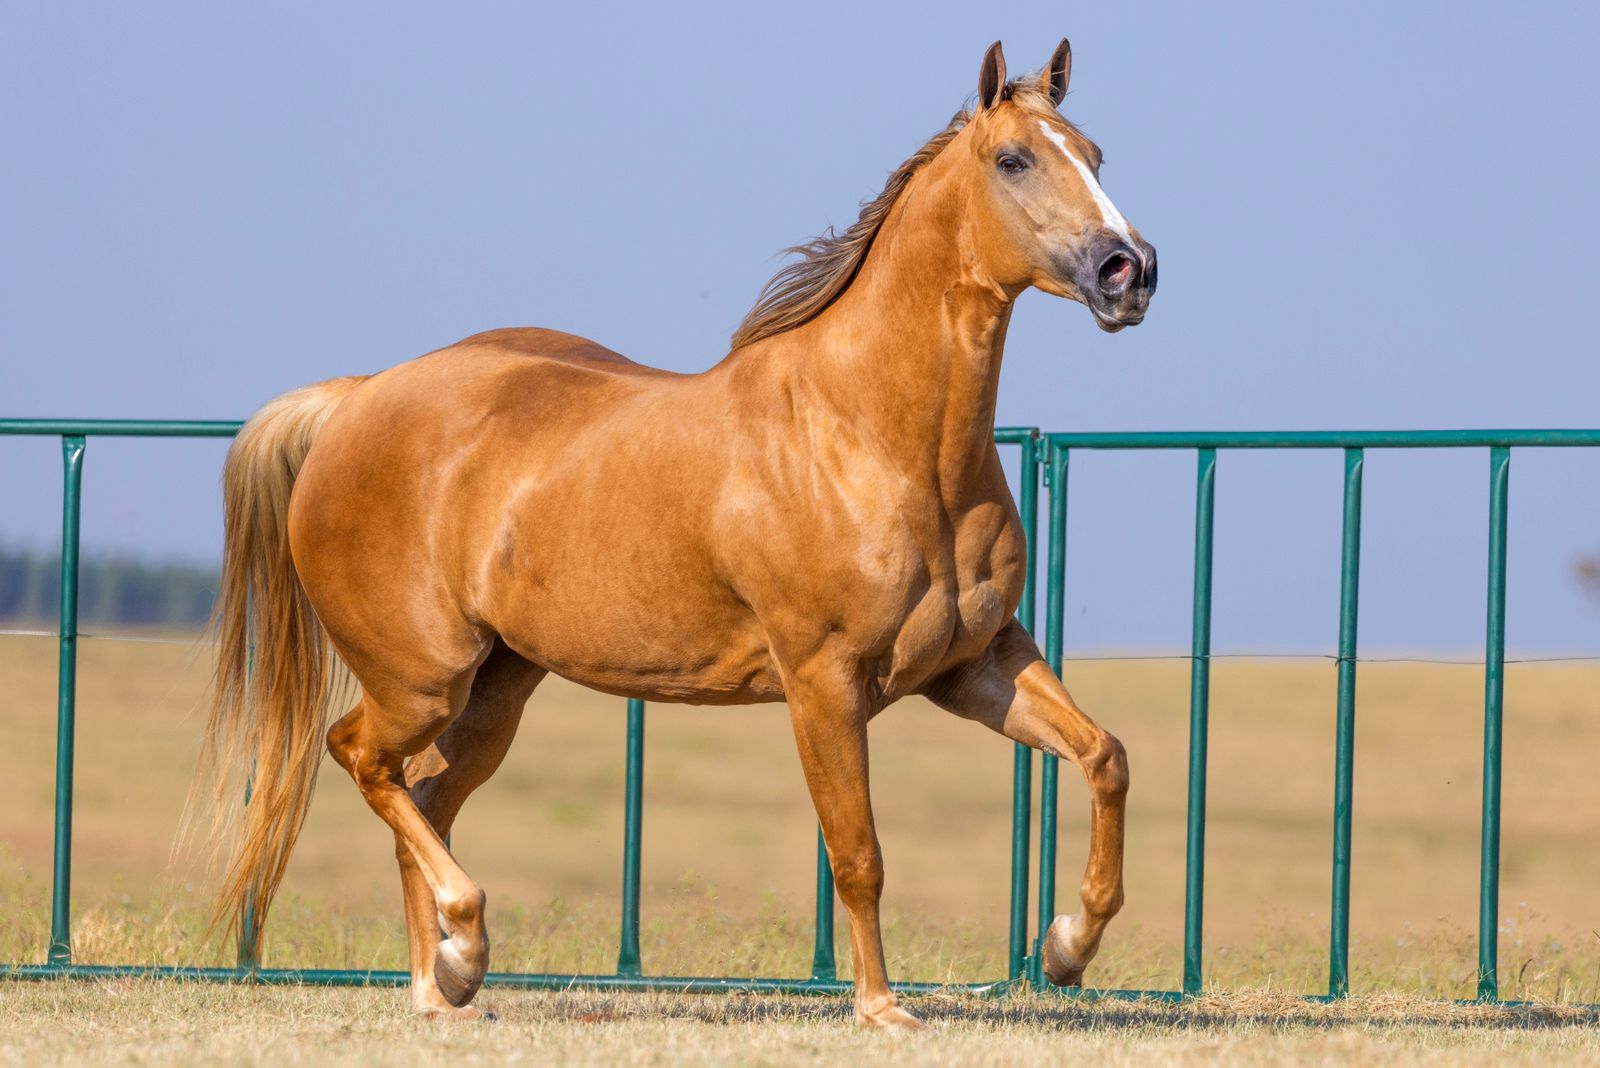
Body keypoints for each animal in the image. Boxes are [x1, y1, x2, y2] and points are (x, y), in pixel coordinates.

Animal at [200, 37, 1158, 1029]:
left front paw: (1068, 946)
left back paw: (446, 986)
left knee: (425, 795)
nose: (1128, 271)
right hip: (421, 679)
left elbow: (1105, 756)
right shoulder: (823, 682)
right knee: (362, 759)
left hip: (496, 691)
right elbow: (857, 853)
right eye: (1013, 159)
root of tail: (354, 398)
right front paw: (883, 1009)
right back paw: (464, 942)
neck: (874, 438)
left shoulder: (977, 665)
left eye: (1095, 154)